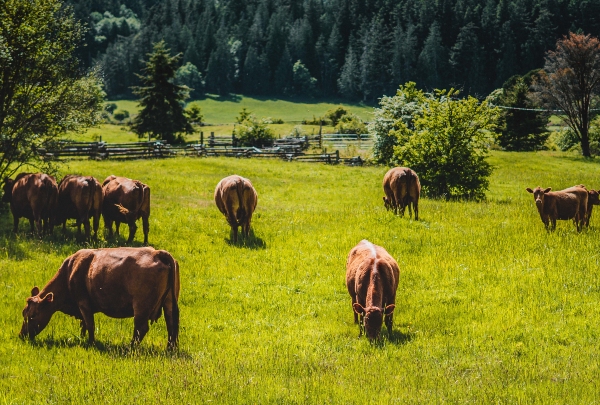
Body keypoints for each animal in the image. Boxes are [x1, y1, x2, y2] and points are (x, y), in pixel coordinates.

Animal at [19, 245, 179, 348]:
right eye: (24, 314)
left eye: (33, 315)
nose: (22, 335)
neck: (70, 271)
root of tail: (157, 252)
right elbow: (84, 324)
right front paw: (82, 338)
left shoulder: (83, 302)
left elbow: (89, 323)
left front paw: (91, 344)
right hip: (170, 301)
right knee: (172, 324)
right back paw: (170, 348)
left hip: (141, 306)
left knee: (141, 328)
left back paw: (130, 348)